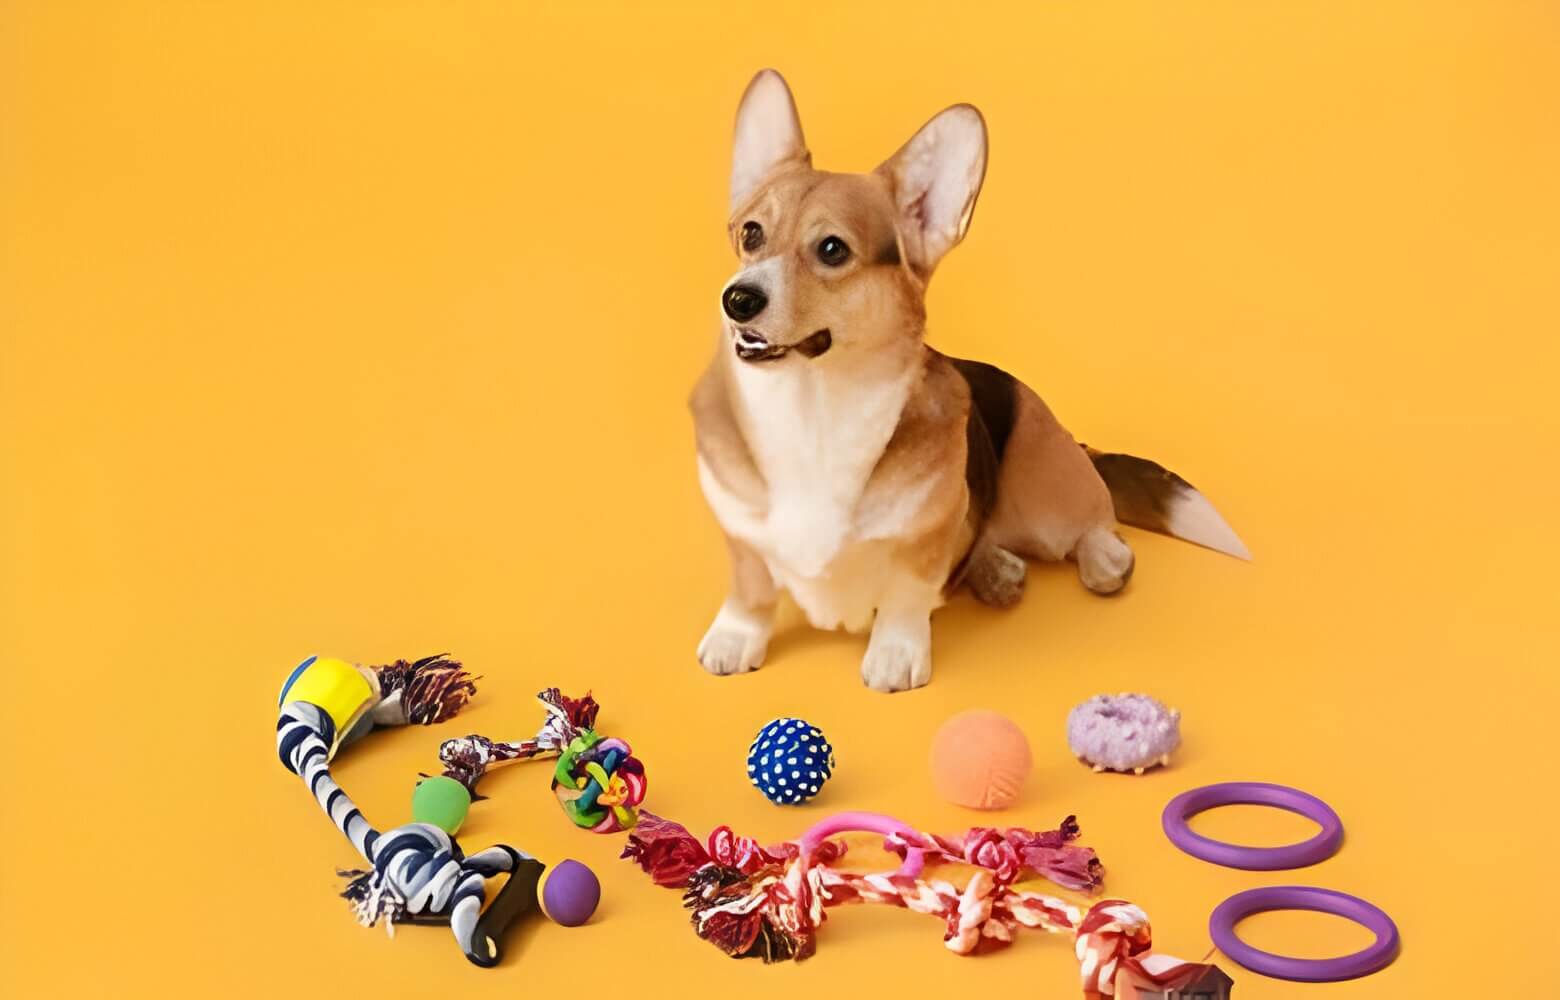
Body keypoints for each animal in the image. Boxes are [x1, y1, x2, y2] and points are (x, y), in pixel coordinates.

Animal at [689, 72, 1248, 692]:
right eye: (751, 233)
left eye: (832, 249)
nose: (737, 299)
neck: (811, 409)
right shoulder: (740, 531)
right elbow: (750, 589)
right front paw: (734, 639)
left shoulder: (925, 533)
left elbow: (908, 592)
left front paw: (896, 656)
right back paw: (997, 570)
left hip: (1047, 492)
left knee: (1093, 522)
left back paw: (1101, 560)